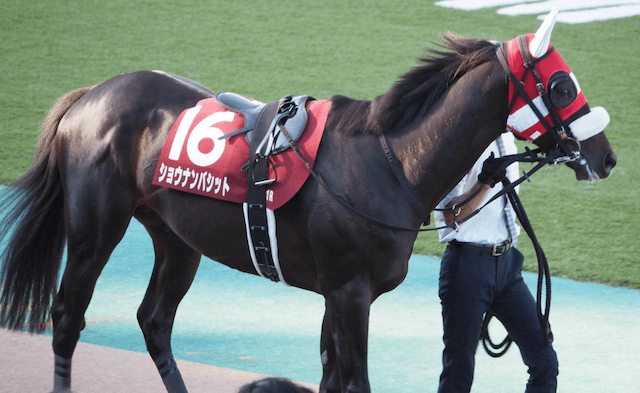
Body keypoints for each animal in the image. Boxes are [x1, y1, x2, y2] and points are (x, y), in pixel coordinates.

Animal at [2, 12, 616, 392]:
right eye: (562, 85)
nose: (606, 156)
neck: (390, 163)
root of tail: (92, 94)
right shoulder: (350, 292)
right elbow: (355, 380)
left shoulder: (336, 294)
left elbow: (329, 378)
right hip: (95, 228)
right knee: (67, 317)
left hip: (177, 240)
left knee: (154, 321)